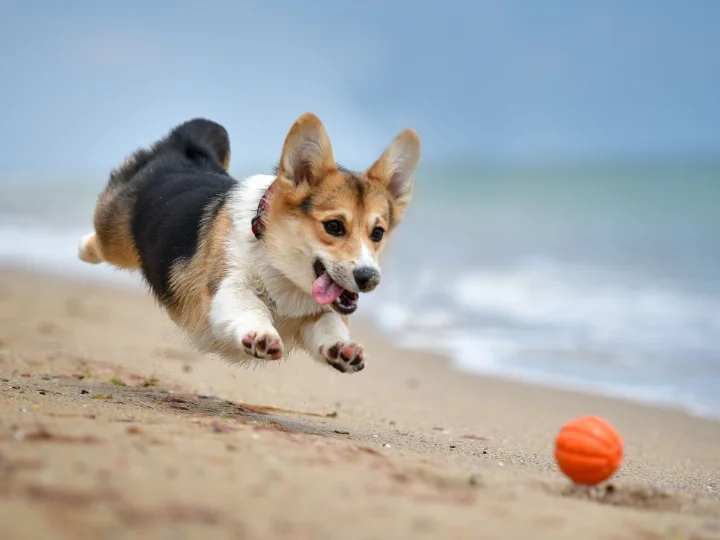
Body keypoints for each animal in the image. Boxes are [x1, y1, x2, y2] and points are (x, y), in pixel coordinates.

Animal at [79, 114, 420, 374]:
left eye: (377, 233)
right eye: (333, 226)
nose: (369, 278)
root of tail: (182, 147)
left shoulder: (316, 314)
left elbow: (329, 324)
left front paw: (343, 348)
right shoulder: (225, 286)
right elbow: (249, 305)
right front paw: (261, 335)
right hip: (115, 239)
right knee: (98, 241)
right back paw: (82, 248)